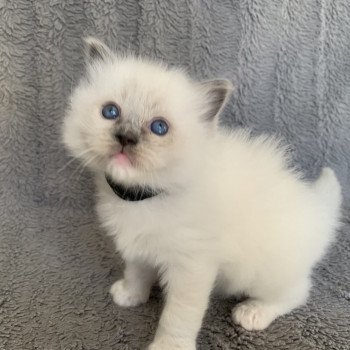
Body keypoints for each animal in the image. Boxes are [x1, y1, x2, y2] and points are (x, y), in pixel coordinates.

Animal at [62, 38, 342, 350]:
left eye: (159, 127)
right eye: (111, 112)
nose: (126, 138)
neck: (145, 196)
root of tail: (316, 206)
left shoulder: (192, 266)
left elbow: (178, 316)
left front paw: (168, 347)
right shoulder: (139, 246)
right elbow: (137, 271)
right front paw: (131, 295)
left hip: (268, 271)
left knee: (297, 292)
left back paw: (253, 312)